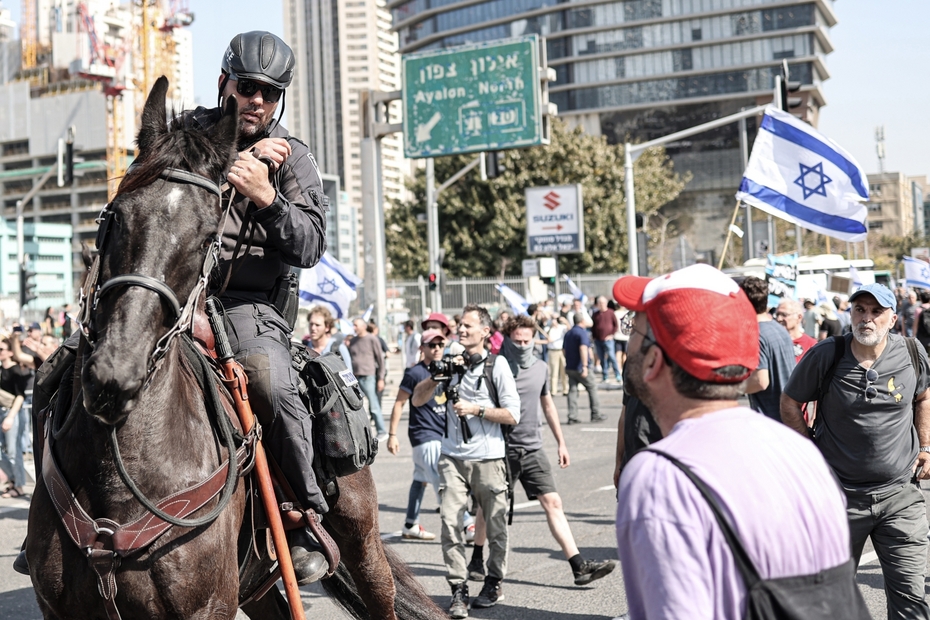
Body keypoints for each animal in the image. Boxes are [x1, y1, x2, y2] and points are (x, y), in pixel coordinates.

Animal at [28, 77, 446, 620]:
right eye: (113, 216)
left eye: (209, 234)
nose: (114, 375)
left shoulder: (206, 608)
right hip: (259, 586)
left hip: (361, 539)